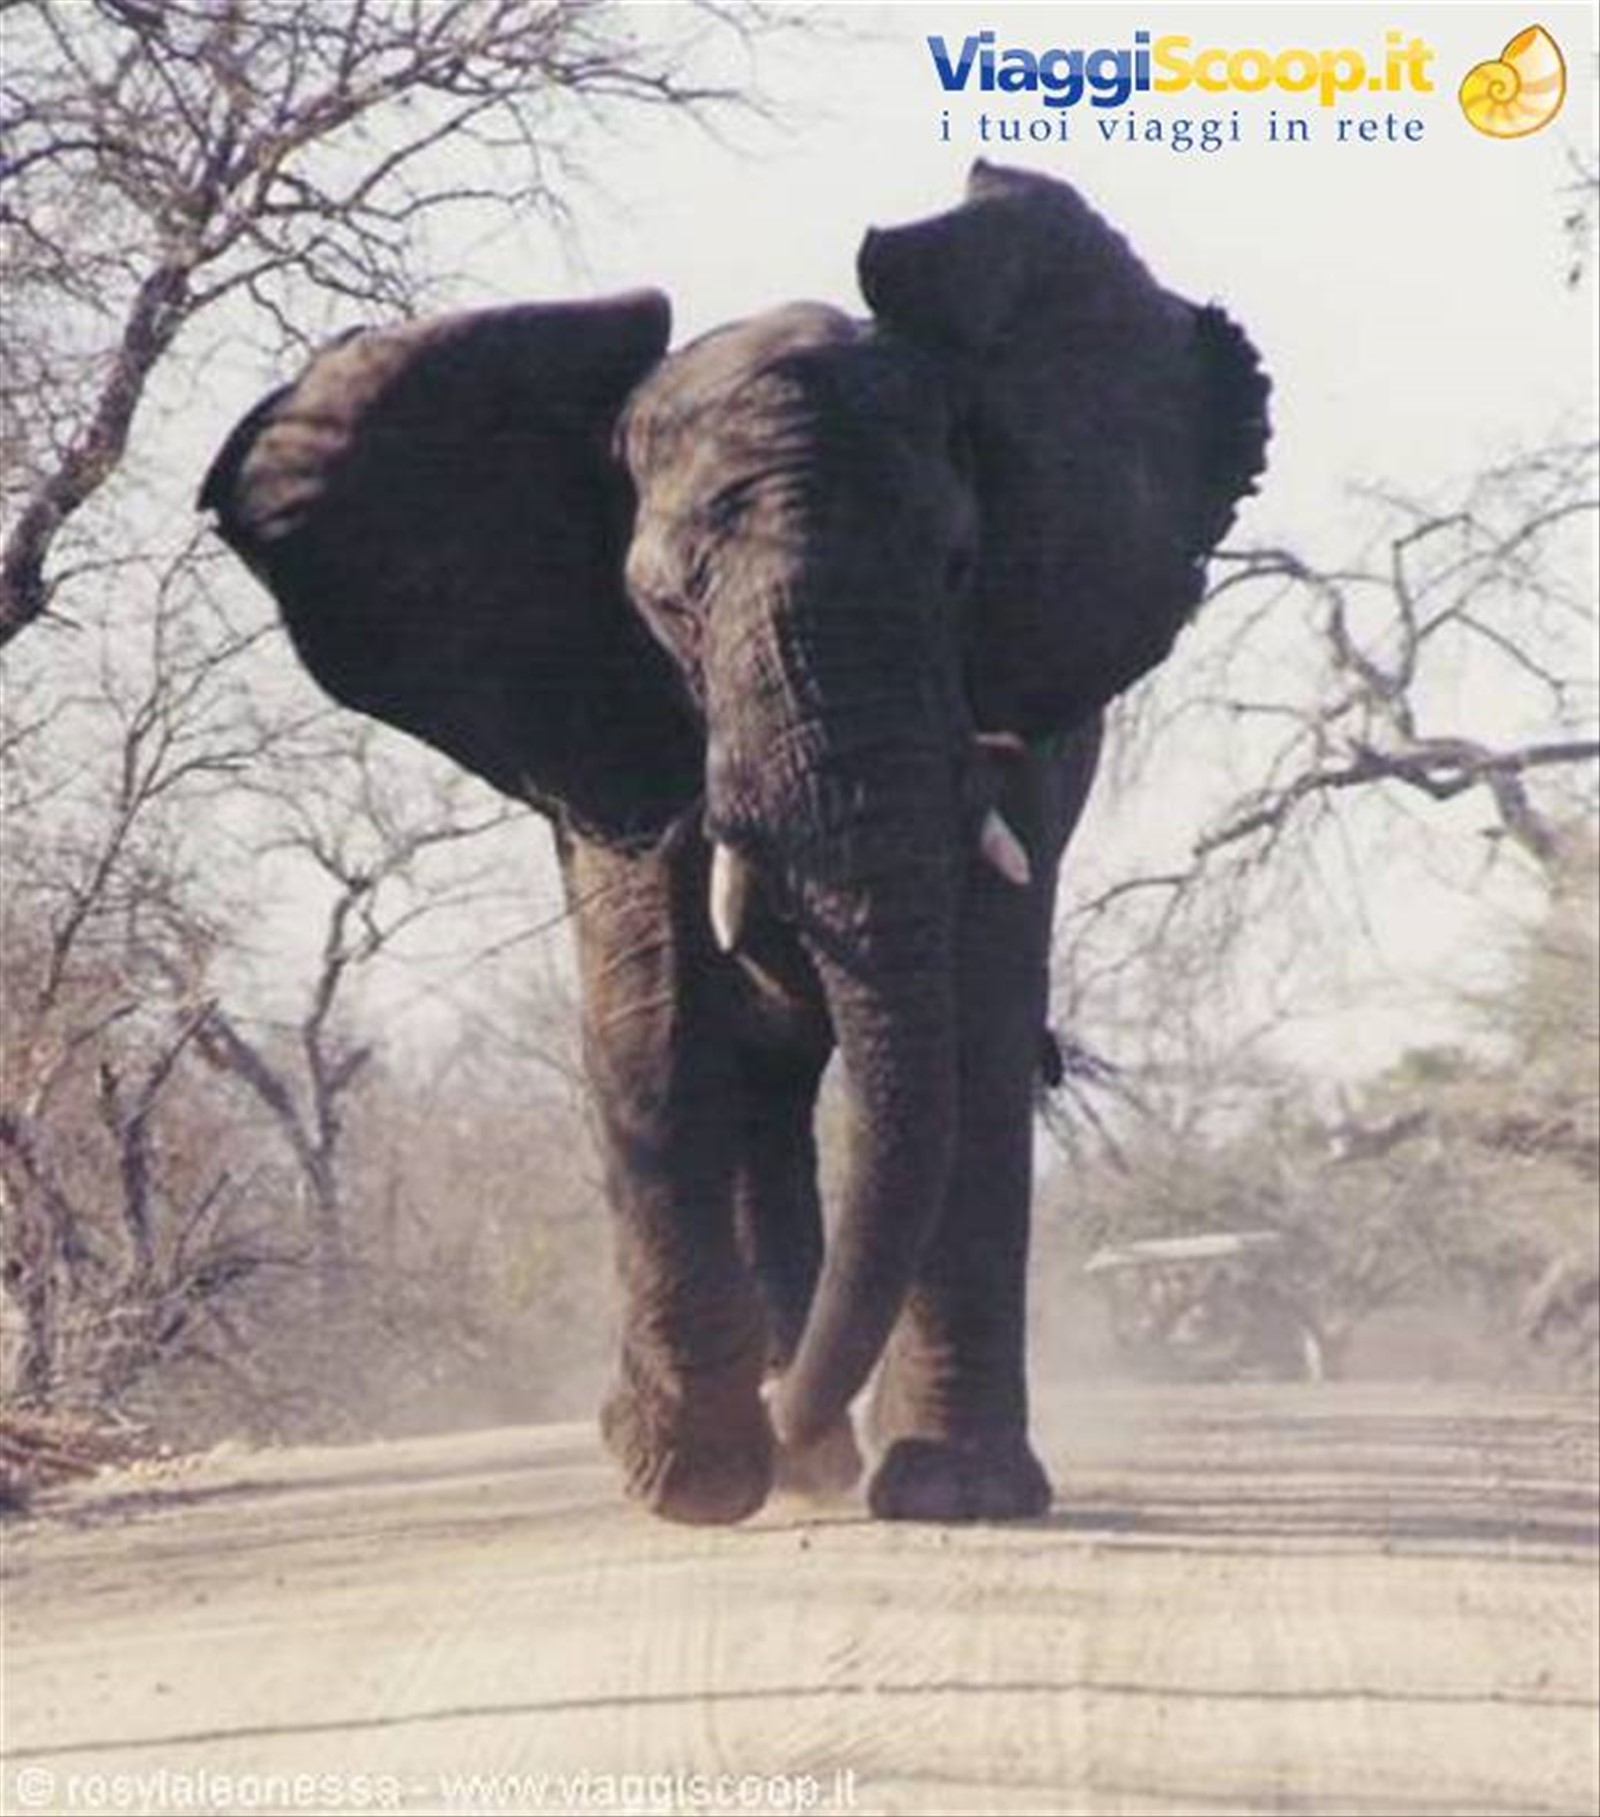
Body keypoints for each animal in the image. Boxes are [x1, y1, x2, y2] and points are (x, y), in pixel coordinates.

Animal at [198, 162, 1270, 1524]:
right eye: (666, 605)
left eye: (957, 567)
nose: (798, 1420)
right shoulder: (615, 720)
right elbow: (655, 1026)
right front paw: (691, 1484)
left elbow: (974, 1024)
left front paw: (949, 1493)